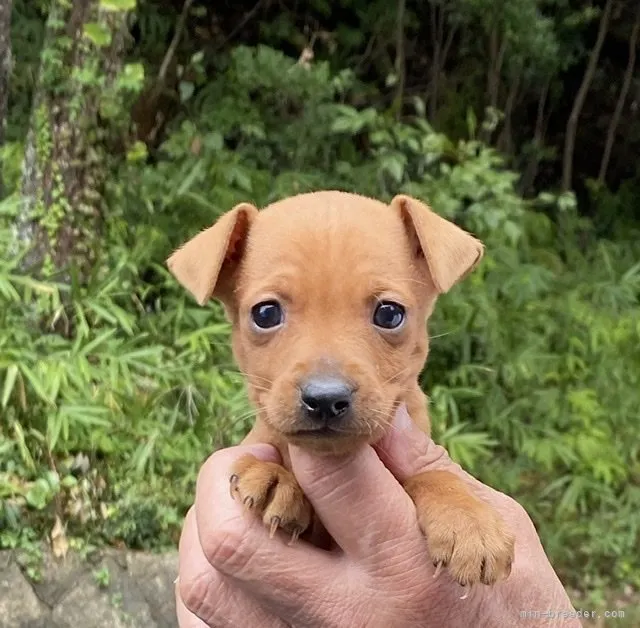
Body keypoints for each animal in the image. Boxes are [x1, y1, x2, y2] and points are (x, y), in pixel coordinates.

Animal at [166, 191, 516, 588]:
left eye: (390, 313)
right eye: (265, 313)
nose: (325, 399)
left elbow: (431, 474)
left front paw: (467, 517)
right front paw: (276, 478)